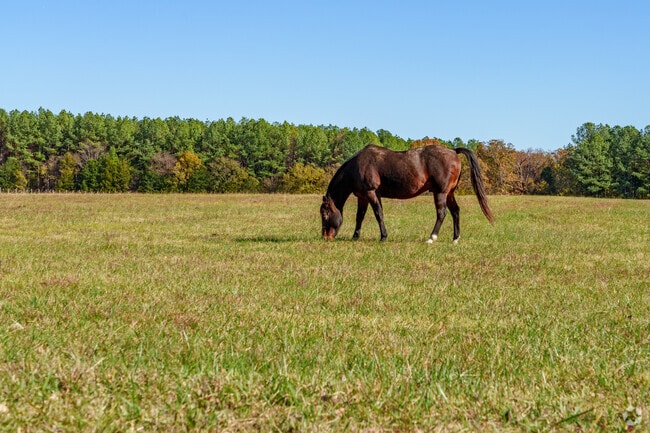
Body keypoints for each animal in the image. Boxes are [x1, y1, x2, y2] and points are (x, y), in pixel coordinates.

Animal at [320, 144, 494, 242]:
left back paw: (432, 237)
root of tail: (453, 151)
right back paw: (455, 238)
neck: (357, 166)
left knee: (441, 213)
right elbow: (360, 217)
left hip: (440, 193)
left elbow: (378, 214)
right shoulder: (363, 196)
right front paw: (355, 237)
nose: (325, 237)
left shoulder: (371, 193)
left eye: (325, 214)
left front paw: (383, 237)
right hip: (449, 193)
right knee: (456, 211)